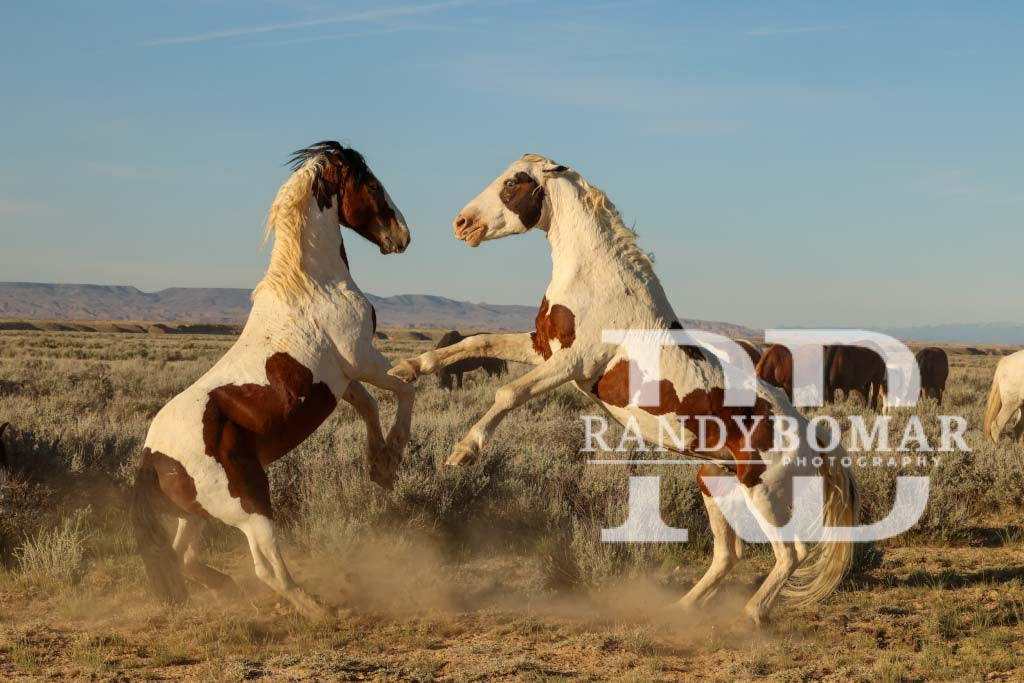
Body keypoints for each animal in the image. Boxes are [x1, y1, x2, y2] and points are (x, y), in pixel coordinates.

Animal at [131, 142, 415, 619]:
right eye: (373, 185)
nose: (403, 237)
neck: (314, 284)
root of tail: (153, 457)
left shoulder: (342, 378)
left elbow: (370, 406)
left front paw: (379, 467)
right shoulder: (362, 359)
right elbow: (406, 387)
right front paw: (392, 456)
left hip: (196, 515)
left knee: (183, 557)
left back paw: (229, 591)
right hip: (248, 503)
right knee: (267, 568)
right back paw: (319, 610)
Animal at [390, 154, 858, 625]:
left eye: (512, 182)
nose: (462, 223)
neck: (598, 281)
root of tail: (811, 435)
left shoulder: (572, 363)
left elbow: (509, 393)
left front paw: (463, 452)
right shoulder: (543, 348)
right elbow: (477, 343)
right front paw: (406, 369)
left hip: (762, 489)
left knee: (790, 554)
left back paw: (750, 616)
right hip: (714, 480)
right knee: (730, 554)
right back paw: (682, 609)